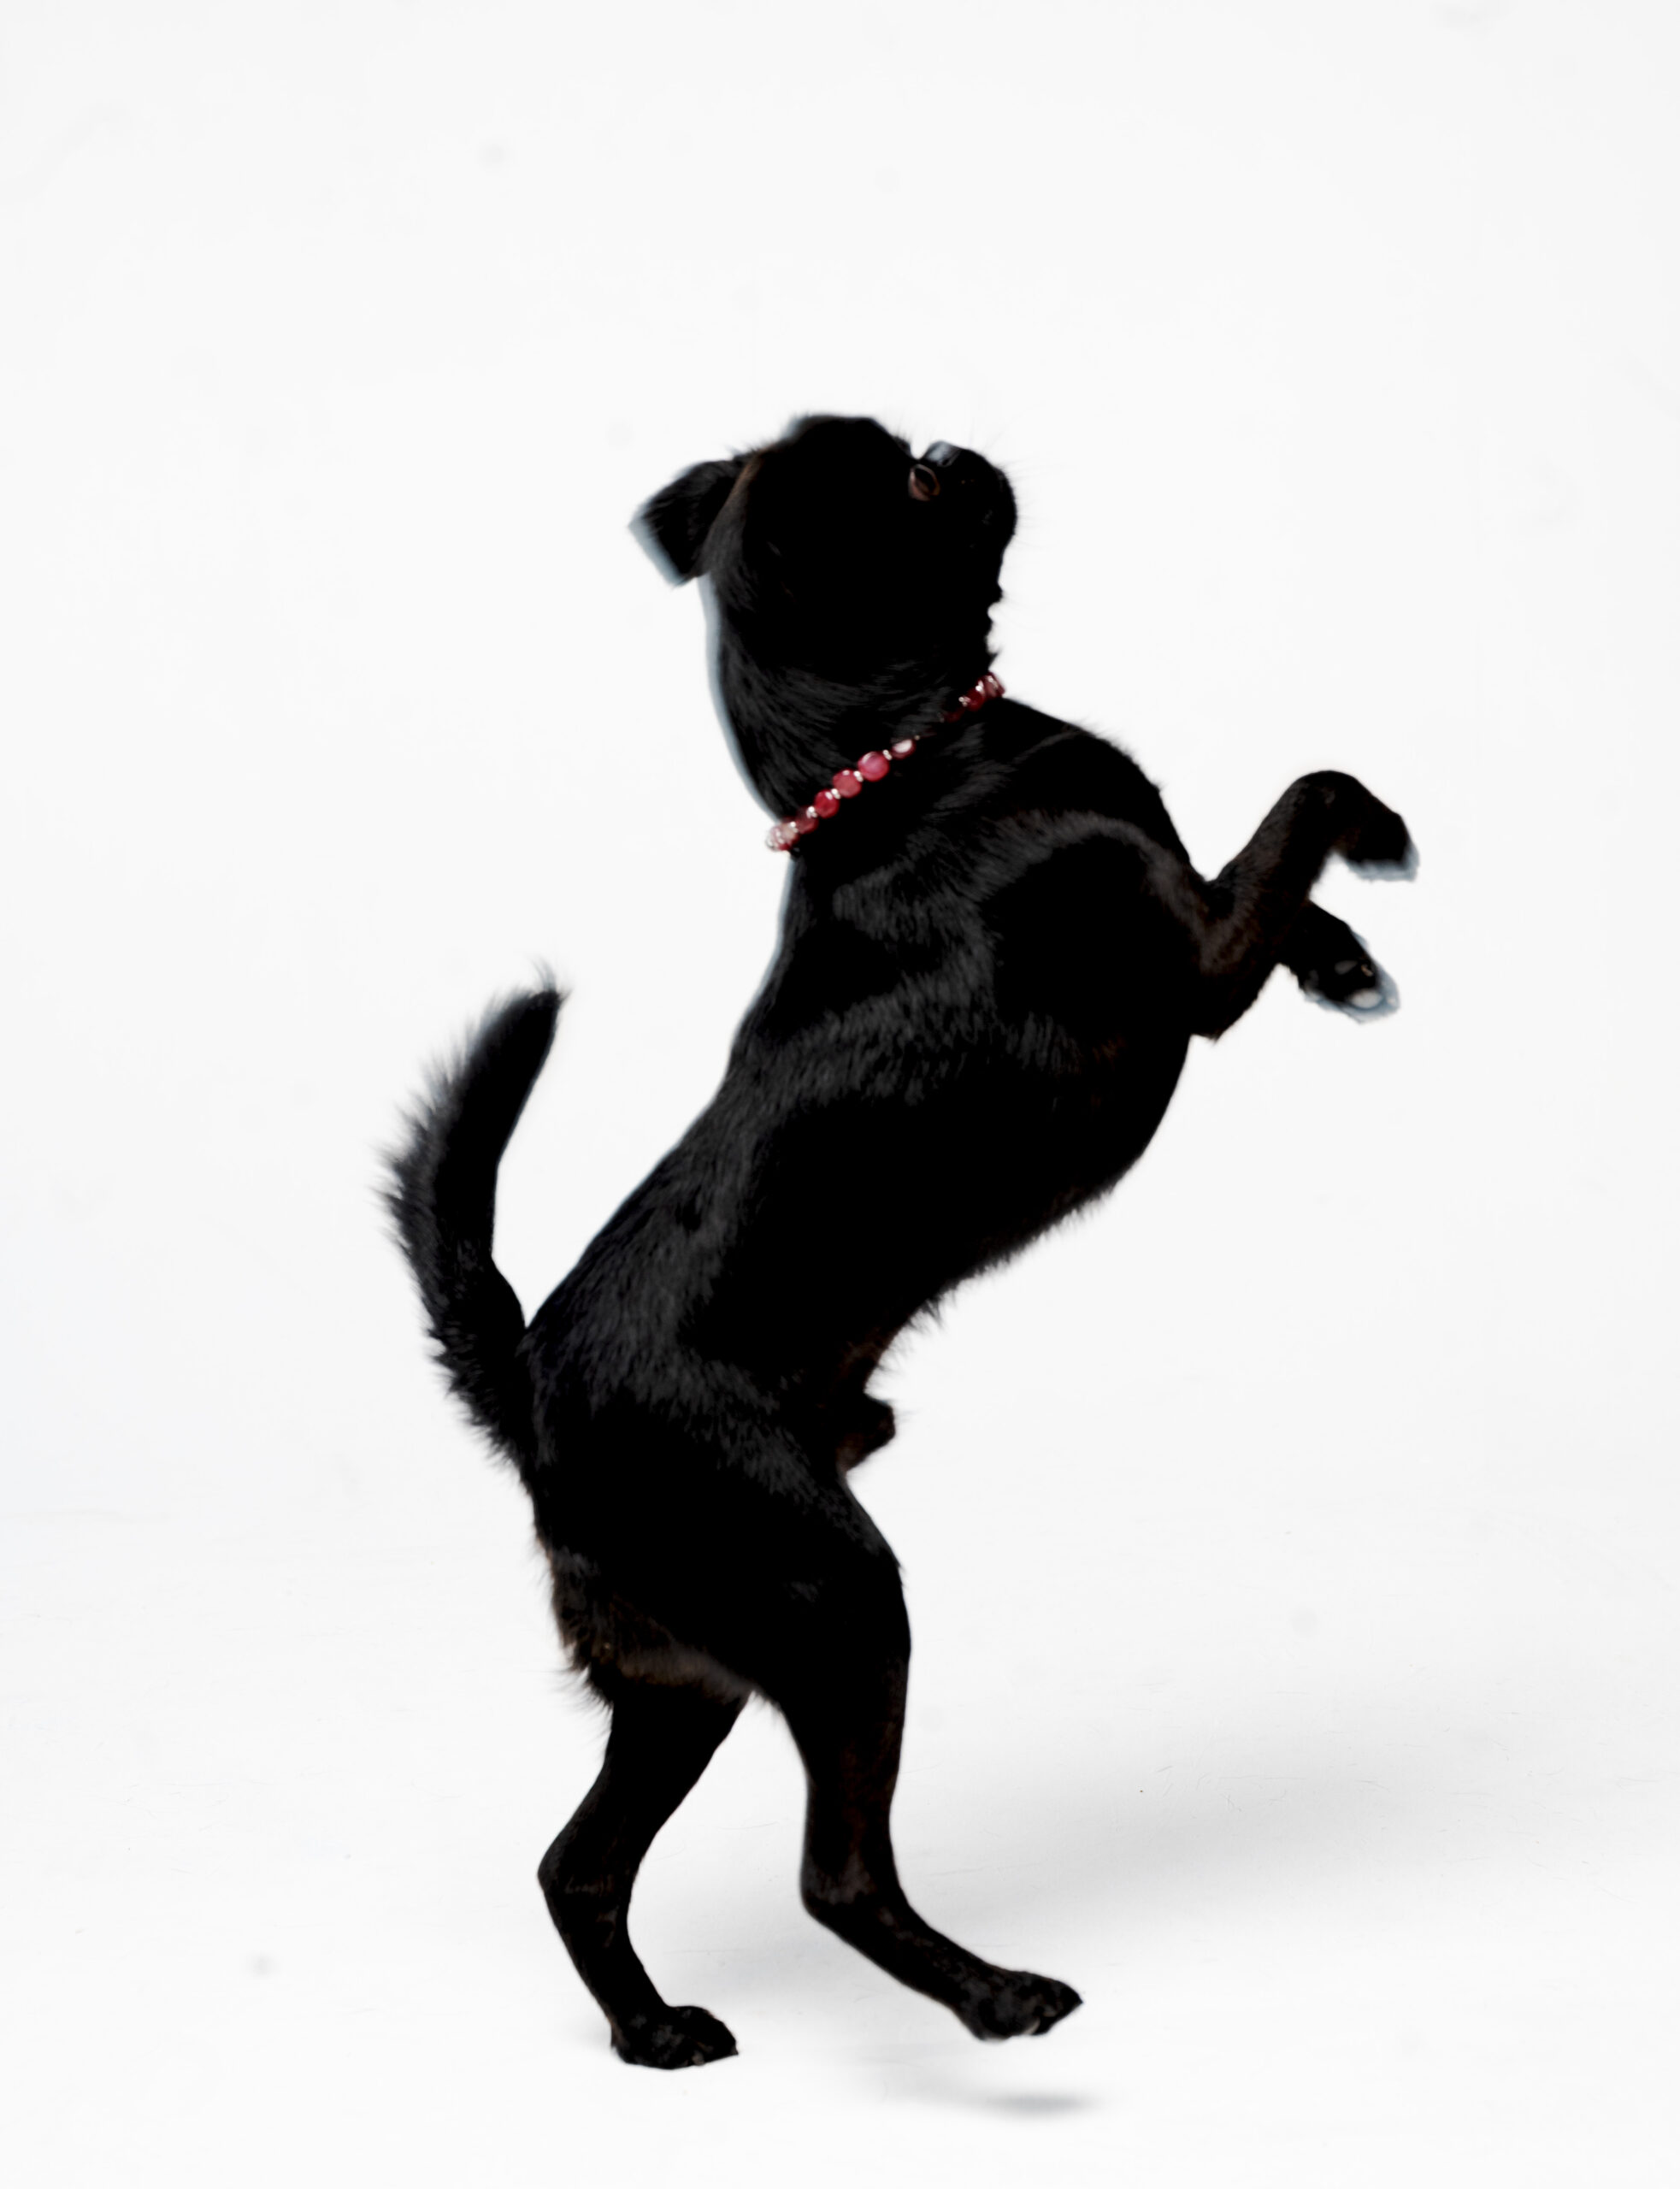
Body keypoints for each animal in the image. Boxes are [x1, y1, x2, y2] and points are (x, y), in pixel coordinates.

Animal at [388, 413, 1414, 2068]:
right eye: (918, 483)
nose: (959, 442)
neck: (904, 769)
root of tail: (528, 1389)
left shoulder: (1204, 919)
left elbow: (1274, 869)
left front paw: (1342, 961)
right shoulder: (1194, 955)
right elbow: (1302, 799)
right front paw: (1375, 841)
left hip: (693, 1674)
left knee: (577, 1865)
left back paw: (653, 2034)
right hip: (839, 1599)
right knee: (837, 1877)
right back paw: (998, 1999)